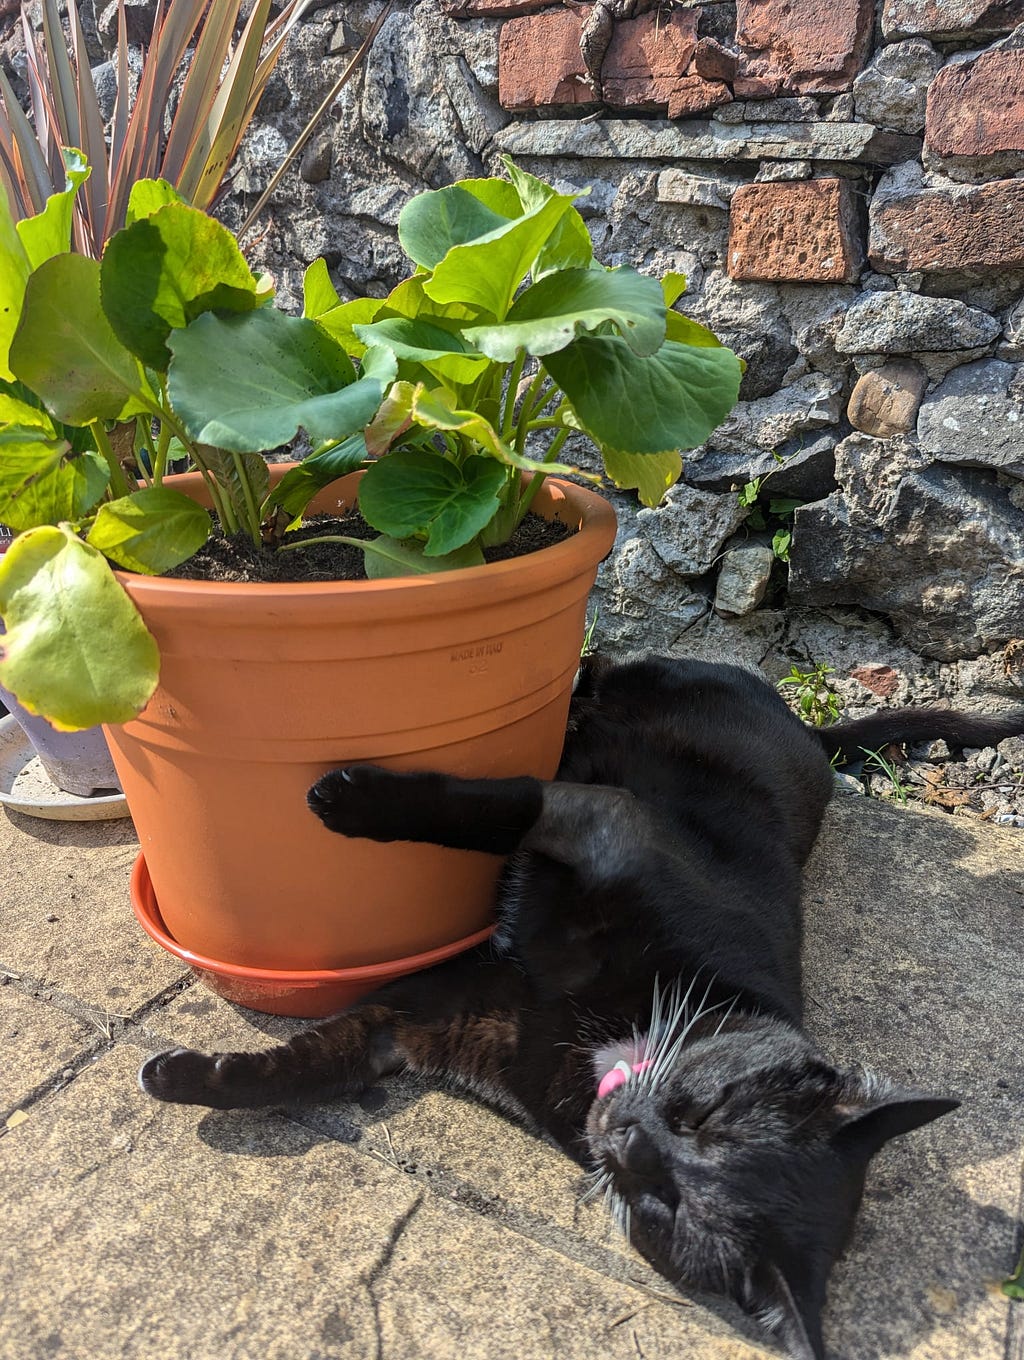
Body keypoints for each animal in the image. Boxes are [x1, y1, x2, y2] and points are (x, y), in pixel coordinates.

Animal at [138, 658, 1022, 1360]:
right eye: (707, 1115)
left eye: (665, 1207)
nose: (628, 1137)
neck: (593, 1040)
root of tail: (804, 725)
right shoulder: (607, 822)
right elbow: (496, 805)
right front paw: (352, 803)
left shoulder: (431, 1019)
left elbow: (308, 1064)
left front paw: (188, 1078)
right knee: (597, 686)